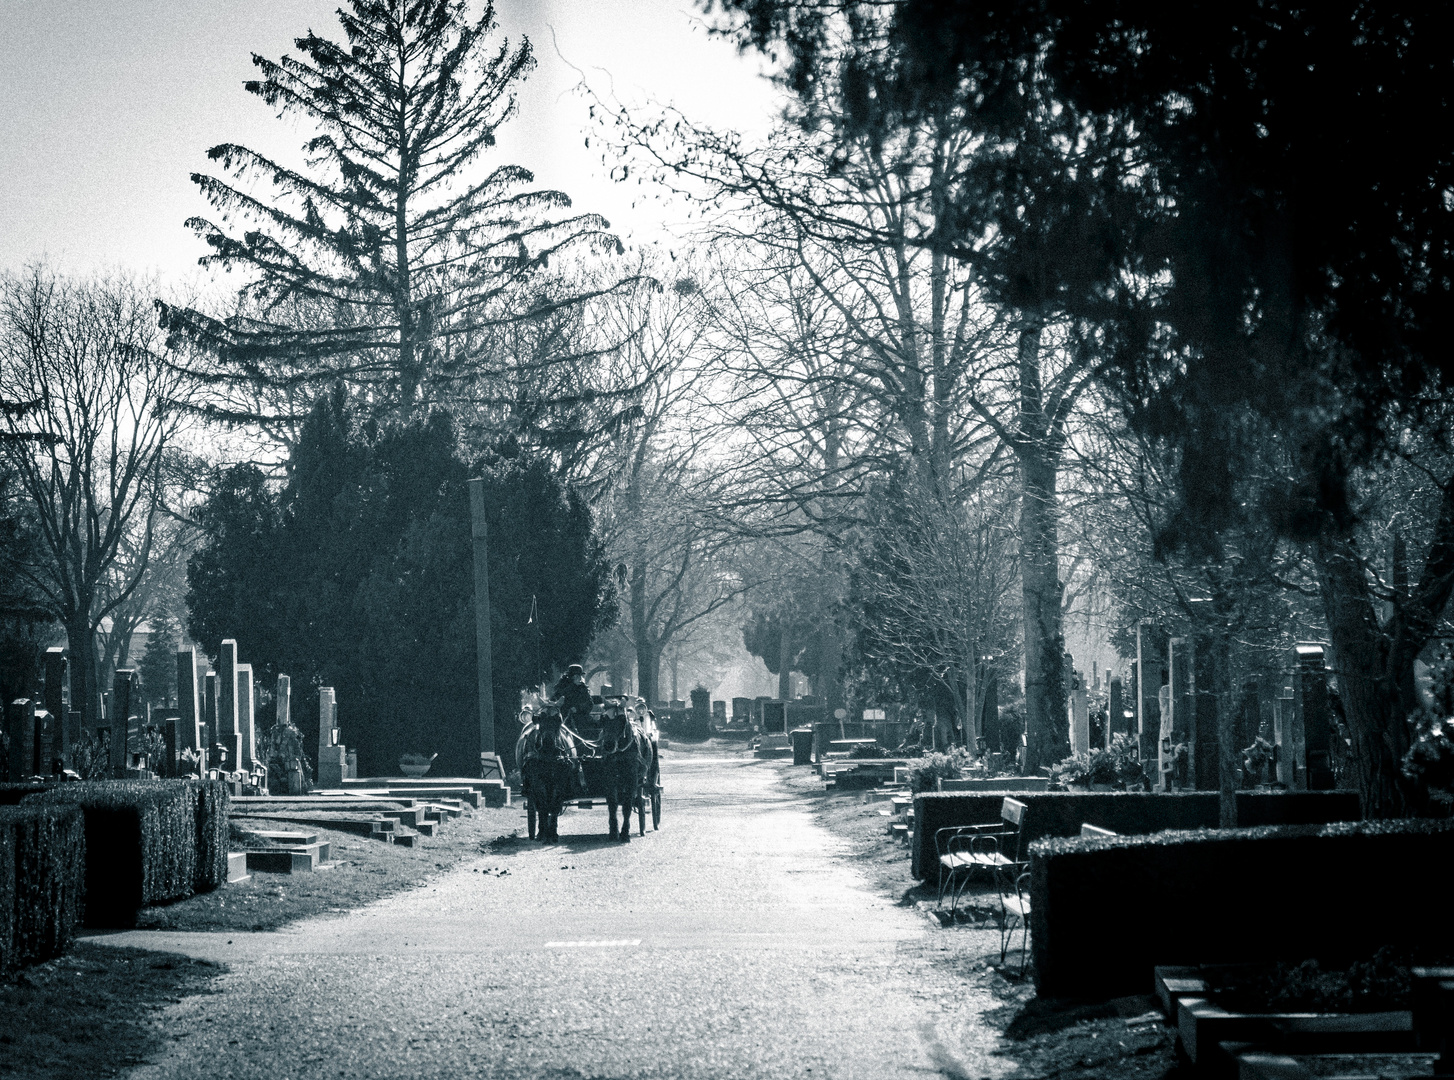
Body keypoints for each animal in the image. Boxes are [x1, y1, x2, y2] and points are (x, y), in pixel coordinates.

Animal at [514, 709, 575, 843]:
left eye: (557, 725)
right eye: (540, 727)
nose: (548, 744)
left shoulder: (559, 781)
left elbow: (555, 803)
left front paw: (553, 833)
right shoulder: (537, 780)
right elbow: (543, 804)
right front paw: (543, 832)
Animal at [599, 709, 651, 843]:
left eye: (621, 722)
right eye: (603, 723)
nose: (608, 745)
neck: (620, 752)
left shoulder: (632, 779)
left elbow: (627, 805)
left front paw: (625, 833)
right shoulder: (610, 778)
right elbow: (613, 804)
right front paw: (613, 832)